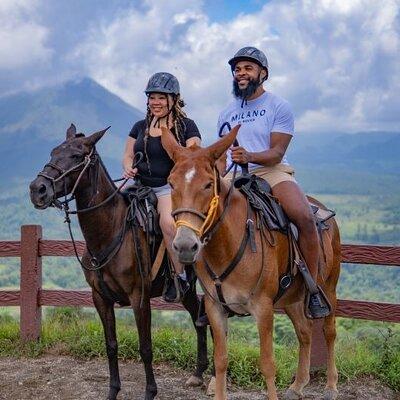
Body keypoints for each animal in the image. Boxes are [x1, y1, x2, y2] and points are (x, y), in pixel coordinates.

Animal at [29, 123, 208, 398]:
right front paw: (113, 391)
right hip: (187, 291)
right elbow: (111, 345)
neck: (110, 231)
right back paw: (198, 374)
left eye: (77, 156)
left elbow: (145, 348)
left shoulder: (139, 298)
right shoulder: (100, 298)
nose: (38, 189)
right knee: (199, 318)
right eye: (53, 152)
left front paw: (150, 392)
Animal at [161, 126, 342, 400]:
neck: (229, 244)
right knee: (305, 332)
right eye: (171, 183)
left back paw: (331, 386)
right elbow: (221, 361)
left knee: (328, 331)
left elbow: (267, 364)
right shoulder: (215, 308)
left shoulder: (263, 308)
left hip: (328, 287)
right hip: (292, 297)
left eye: (208, 184)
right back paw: (298, 384)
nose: (184, 245)